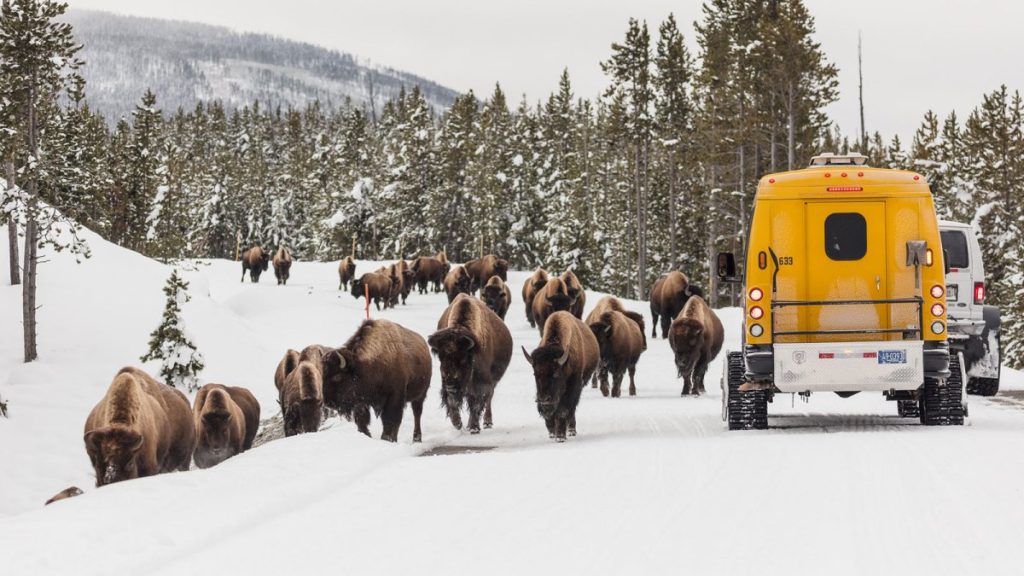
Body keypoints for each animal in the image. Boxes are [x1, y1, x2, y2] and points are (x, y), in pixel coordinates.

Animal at [430, 291, 512, 430]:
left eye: (463, 359)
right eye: (441, 358)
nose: (451, 385)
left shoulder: (482, 382)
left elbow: (477, 402)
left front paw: (473, 427)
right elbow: (452, 401)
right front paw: (457, 423)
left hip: (493, 380)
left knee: (488, 398)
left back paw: (487, 422)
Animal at [520, 309, 598, 438]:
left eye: (555, 374)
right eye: (535, 374)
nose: (544, 399)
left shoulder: (573, 387)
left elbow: (563, 410)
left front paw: (560, 436)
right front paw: (552, 432)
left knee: (571, 409)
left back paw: (571, 430)